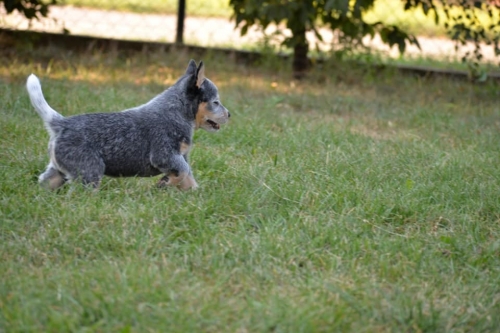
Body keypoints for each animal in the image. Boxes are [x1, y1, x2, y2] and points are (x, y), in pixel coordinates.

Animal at [26, 59, 230, 189]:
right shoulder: (164, 155)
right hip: (90, 171)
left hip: (58, 171)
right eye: (215, 102)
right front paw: (163, 184)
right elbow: (183, 172)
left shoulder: (181, 157)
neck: (178, 111)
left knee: (44, 182)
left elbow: (189, 178)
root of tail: (61, 123)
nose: (229, 114)